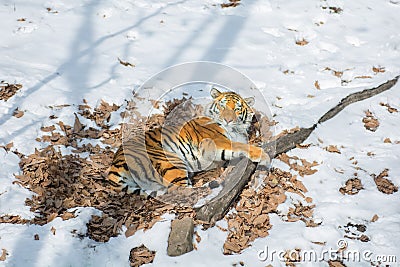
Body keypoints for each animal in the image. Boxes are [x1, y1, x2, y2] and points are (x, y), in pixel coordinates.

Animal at [108, 88, 270, 195]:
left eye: (236, 109)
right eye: (222, 106)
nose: (228, 120)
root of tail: (114, 164)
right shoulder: (216, 142)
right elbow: (241, 146)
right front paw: (264, 155)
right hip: (171, 162)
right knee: (181, 192)